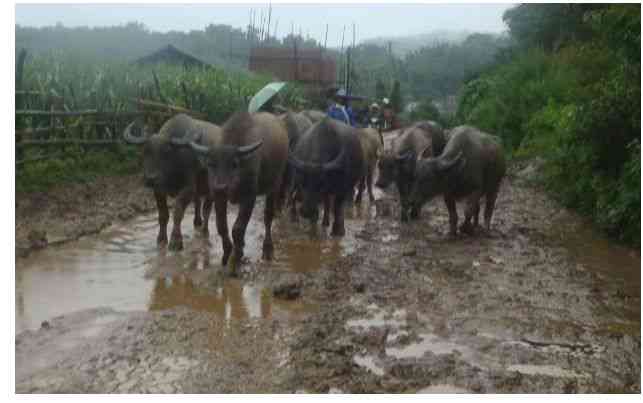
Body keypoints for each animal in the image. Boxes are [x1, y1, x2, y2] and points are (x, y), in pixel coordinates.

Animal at [122, 113, 219, 251]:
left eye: (166, 152)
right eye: (145, 151)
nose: (150, 178)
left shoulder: (187, 189)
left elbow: (177, 213)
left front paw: (175, 241)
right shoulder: (158, 190)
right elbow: (163, 215)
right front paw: (161, 239)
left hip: (212, 189)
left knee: (207, 209)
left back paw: (204, 231)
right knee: (198, 202)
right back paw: (197, 222)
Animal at [189, 111, 290, 272]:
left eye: (234, 164)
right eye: (211, 164)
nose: (221, 187)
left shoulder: (249, 197)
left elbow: (237, 228)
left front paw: (235, 260)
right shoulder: (219, 198)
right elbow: (221, 226)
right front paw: (227, 253)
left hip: (275, 184)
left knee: (268, 217)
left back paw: (268, 249)